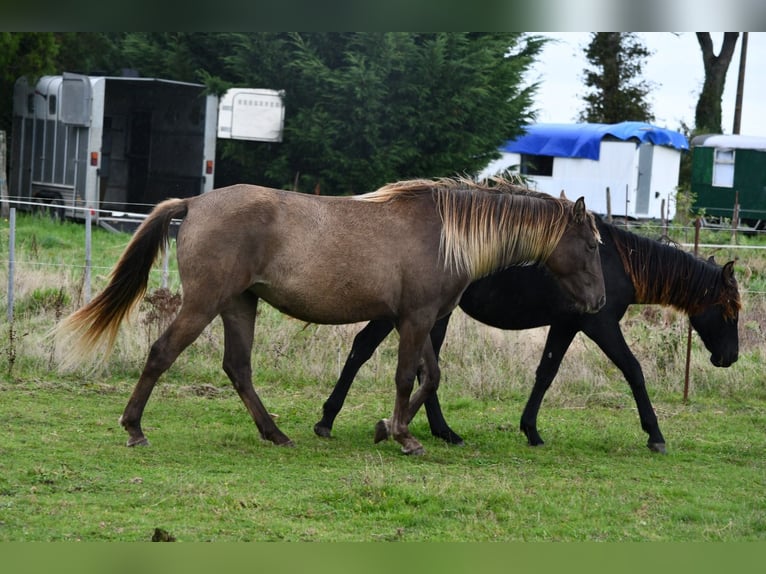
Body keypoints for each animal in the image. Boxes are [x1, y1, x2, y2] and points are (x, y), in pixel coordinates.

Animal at [55, 177, 605, 455]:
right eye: (592, 244)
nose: (600, 301)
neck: (444, 233)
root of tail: (194, 203)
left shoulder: (420, 319)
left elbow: (430, 377)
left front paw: (387, 427)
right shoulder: (414, 319)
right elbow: (407, 377)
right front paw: (402, 436)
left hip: (239, 305)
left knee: (238, 368)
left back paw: (275, 434)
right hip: (204, 304)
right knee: (162, 354)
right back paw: (134, 429)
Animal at [314, 217, 740, 454]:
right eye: (729, 311)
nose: (730, 358)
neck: (615, 263)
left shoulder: (567, 325)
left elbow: (545, 374)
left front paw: (531, 430)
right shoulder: (599, 325)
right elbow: (633, 370)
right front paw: (655, 434)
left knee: (397, 360)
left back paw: (433, 430)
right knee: (366, 350)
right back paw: (334, 420)